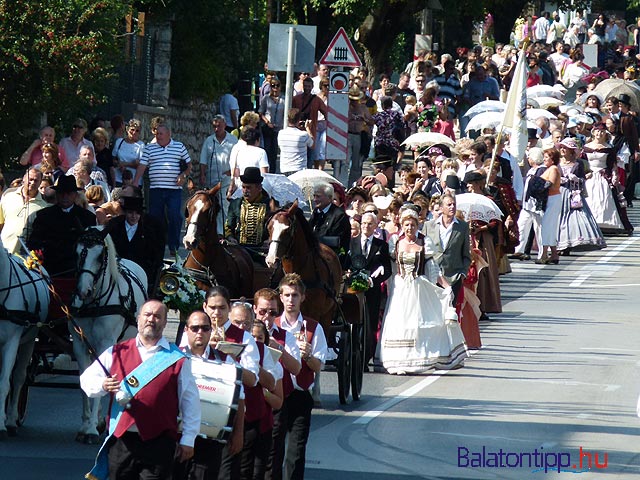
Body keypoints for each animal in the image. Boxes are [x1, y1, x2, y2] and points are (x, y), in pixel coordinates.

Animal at [0, 238, 50, 436]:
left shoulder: (12, 342)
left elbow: (5, 382)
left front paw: (2, 423)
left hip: (29, 342)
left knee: (19, 377)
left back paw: (11, 420)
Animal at [71, 227, 148, 444]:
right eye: (78, 252)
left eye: (100, 256)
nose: (83, 291)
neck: (94, 304)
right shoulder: (80, 345)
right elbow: (85, 378)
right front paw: (86, 425)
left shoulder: (106, 343)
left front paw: (90, 430)